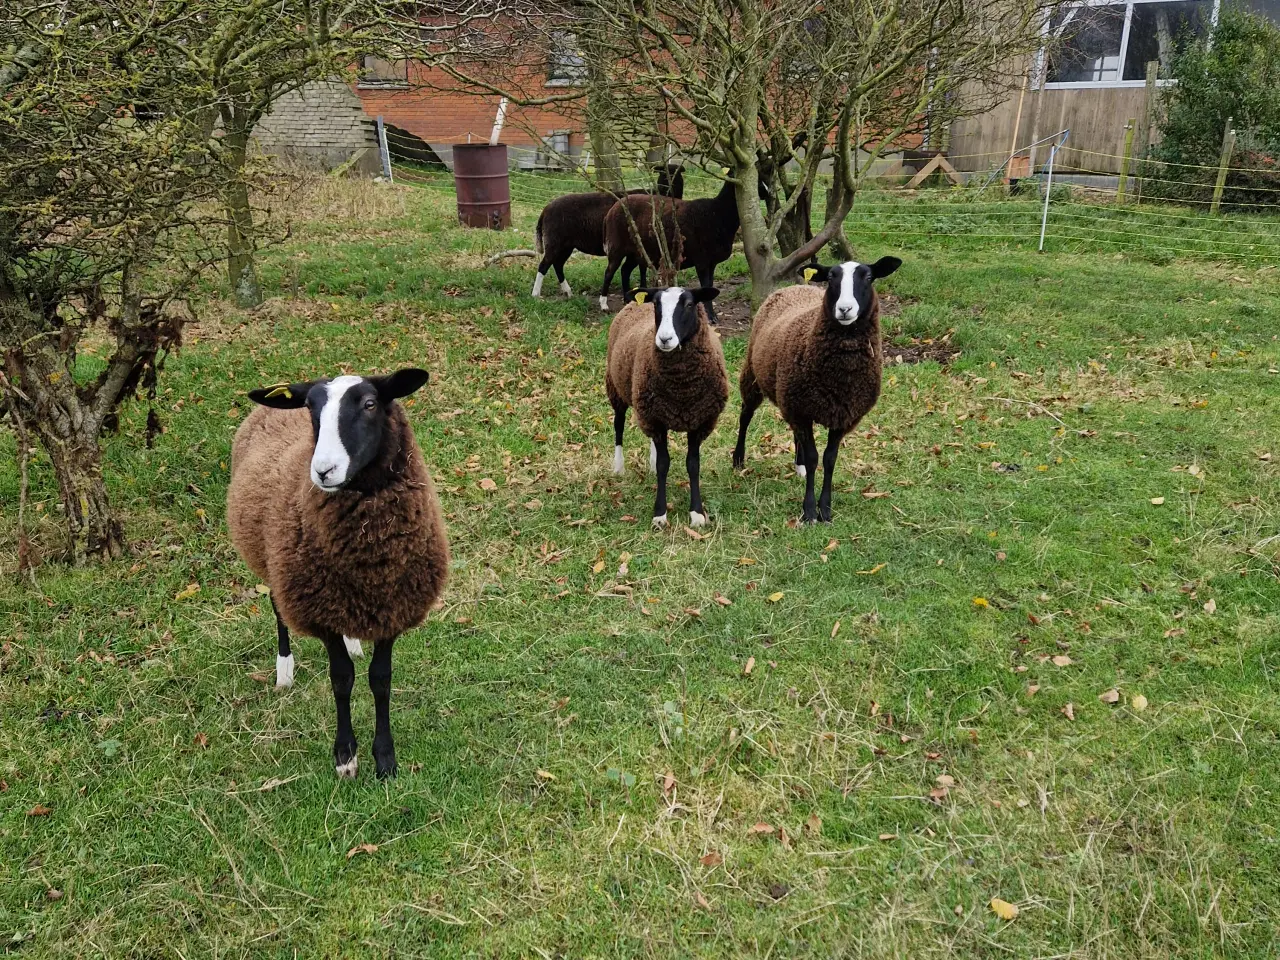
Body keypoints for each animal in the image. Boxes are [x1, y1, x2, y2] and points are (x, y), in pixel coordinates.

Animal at [225, 368, 450, 783]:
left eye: (370, 404)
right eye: (311, 409)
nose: (323, 471)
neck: (371, 558)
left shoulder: (393, 606)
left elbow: (381, 679)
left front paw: (385, 759)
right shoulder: (319, 609)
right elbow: (342, 679)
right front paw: (346, 755)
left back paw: (354, 642)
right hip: (276, 563)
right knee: (278, 609)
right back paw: (284, 671)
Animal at [532, 165, 686, 299]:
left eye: (676, 175)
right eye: (663, 175)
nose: (668, 188)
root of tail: (545, 210)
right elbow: (642, 268)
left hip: (566, 245)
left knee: (557, 265)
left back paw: (568, 292)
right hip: (555, 241)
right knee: (544, 265)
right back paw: (535, 294)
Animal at [604, 288, 727, 527]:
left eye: (689, 304)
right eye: (656, 305)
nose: (664, 339)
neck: (682, 389)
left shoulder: (698, 422)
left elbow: (693, 465)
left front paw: (697, 513)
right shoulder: (656, 420)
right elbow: (664, 465)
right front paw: (660, 514)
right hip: (617, 390)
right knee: (618, 427)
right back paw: (618, 467)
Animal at [737, 259, 906, 522]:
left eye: (869, 277)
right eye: (830, 278)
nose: (845, 309)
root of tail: (793, 286)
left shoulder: (842, 416)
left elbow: (829, 459)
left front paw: (825, 509)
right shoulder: (802, 411)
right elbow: (813, 458)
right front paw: (809, 511)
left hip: (789, 398)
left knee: (794, 433)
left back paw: (798, 467)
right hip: (753, 373)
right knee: (745, 414)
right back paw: (738, 458)